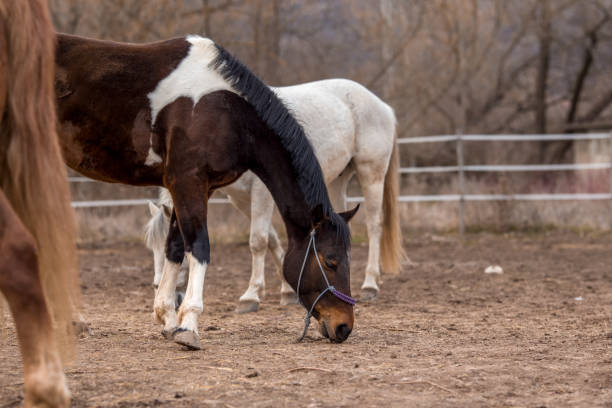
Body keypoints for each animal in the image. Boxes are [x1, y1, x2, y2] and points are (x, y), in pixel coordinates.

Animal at [55, 33, 358, 350]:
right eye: (331, 261)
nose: (344, 326)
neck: (223, 109)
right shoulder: (188, 182)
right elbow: (199, 247)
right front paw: (189, 324)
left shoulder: (196, 188)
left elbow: (175, 248)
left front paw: (168, 319)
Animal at [143, 77, 402, 312]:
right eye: (153, 247)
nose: (166, 294)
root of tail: (383, 106)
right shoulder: (240, 199)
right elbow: (272, 239)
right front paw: (288, 291)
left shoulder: (261, 193)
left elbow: (257, 241)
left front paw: (250, 296)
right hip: (339, 180)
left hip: (371, 173)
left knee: (374, 226)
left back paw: (370, 284)